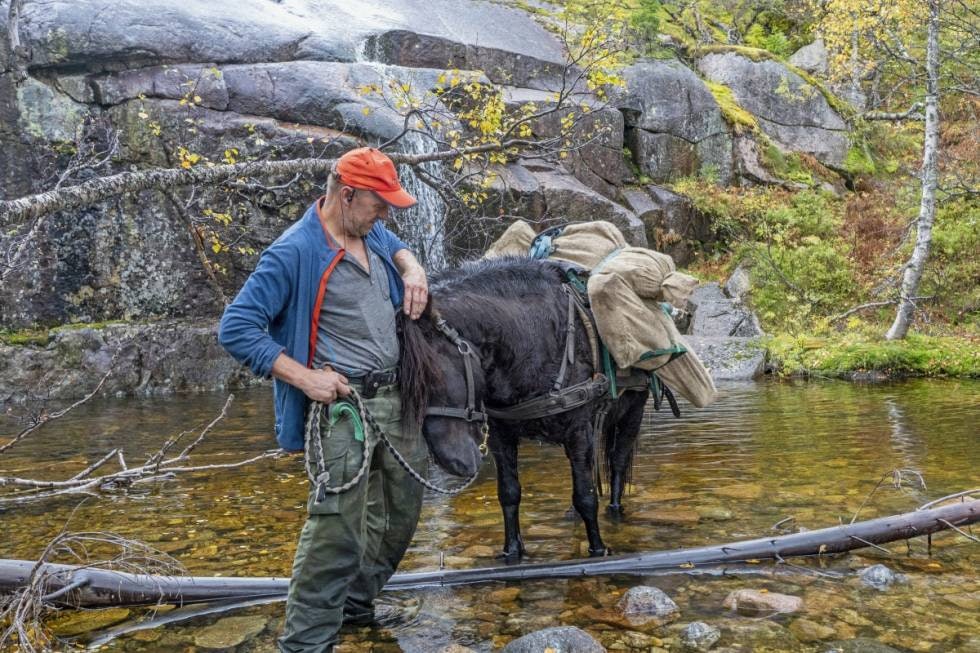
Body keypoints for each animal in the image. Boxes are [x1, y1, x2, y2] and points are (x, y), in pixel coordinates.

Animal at [398, 258, 652, 556]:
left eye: (433, 377)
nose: (455, 464)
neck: (529, 334)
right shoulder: (501, 435)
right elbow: (509, 493)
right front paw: (512, 551)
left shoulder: (578, 431)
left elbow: (586, 497)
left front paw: (599, 550)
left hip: (633, 412)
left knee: (617, 462)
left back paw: (614, 509)